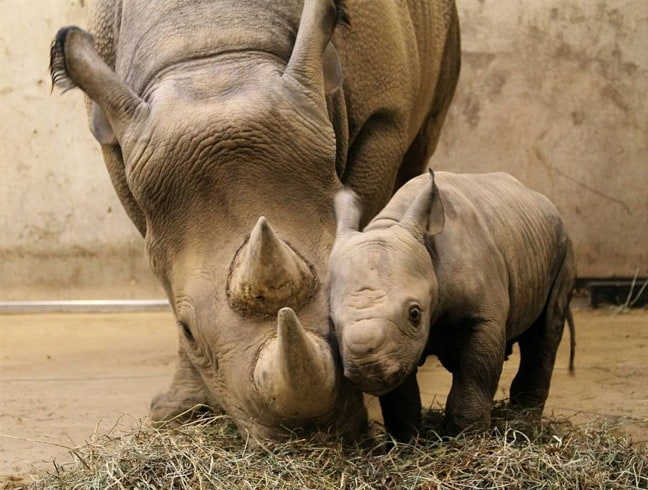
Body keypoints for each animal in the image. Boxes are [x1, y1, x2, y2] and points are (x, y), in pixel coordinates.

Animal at [48, 0, 458, 440]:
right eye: (188, 330)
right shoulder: (118, 148)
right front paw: (180, 412)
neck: (212, 49)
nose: (306, 434)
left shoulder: (384, 118)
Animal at [332, 169, 576, 440]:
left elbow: (474, 374)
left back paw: (524, 423)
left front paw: (466, 437)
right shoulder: (399, 346)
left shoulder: (482, 318)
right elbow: (400, 394)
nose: (367, 368)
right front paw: (405, 441)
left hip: (563, 245)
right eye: (332, 323)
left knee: (545, 332)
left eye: (414, 314)